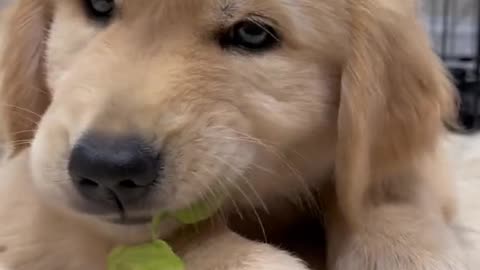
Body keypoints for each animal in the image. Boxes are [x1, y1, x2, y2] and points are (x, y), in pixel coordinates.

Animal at [0, 0, 466, 268]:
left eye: (252, 32)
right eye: (98, 3)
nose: (106, 168)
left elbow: (379, 192)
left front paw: (404, 250)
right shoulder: (29, 186)